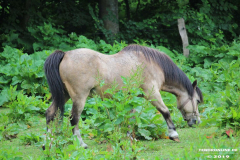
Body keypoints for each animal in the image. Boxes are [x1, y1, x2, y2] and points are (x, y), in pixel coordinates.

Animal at [43, 44, 202, 149]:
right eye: (197, 101)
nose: (197, 121)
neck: (152, 64)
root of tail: (65, 54)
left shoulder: (131, 98)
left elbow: (130, 118)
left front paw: (128, 139)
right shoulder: (152, 93)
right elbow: (165, 112)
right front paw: (173, 133)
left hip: (64, 95)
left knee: (50, 114)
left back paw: (47, 143)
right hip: (79, 97)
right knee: (74, 118)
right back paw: (81, 144)